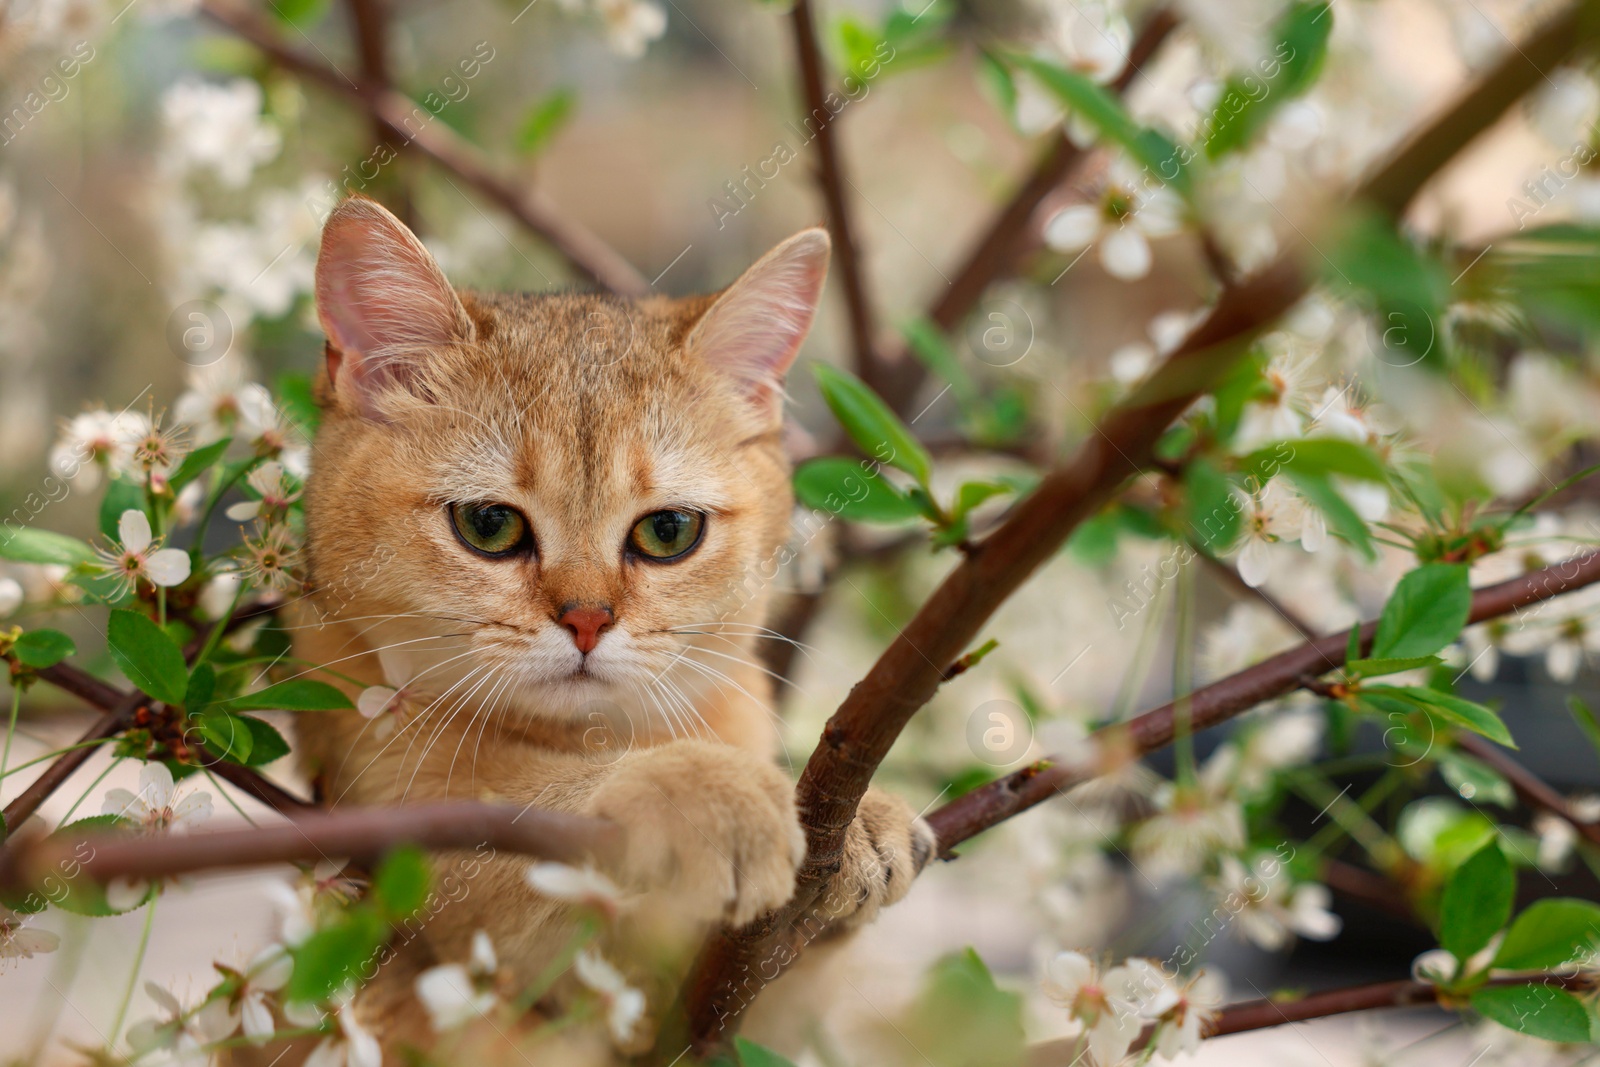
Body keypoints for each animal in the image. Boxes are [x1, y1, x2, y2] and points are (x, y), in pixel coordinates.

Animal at [289, 198, 934, 1062]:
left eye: (668, 531)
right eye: (487, 524)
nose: (587, 619)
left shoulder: (726, 1013)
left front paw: (854, 821)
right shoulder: (424, 849)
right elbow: (541, 803)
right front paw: (702, 791)